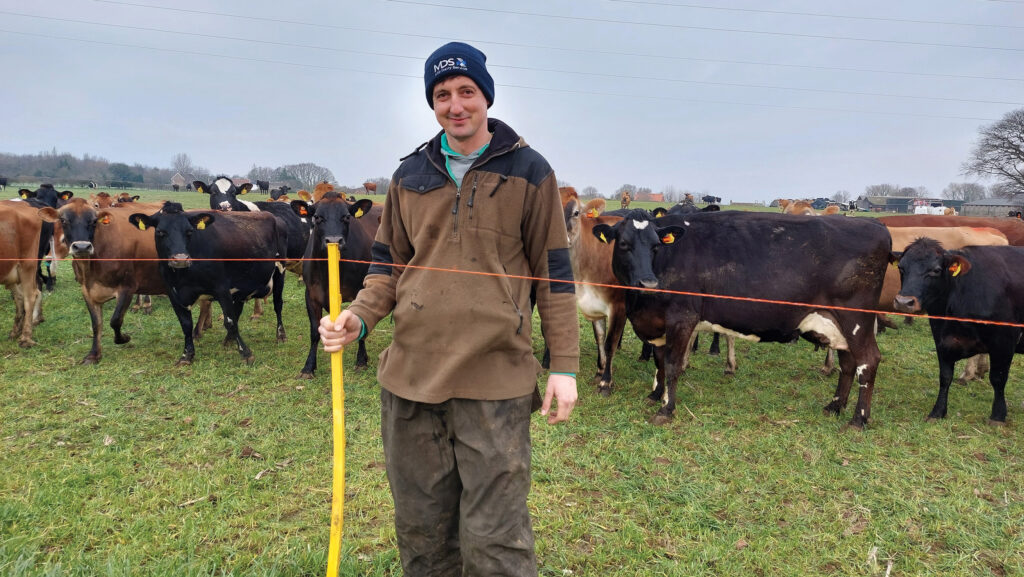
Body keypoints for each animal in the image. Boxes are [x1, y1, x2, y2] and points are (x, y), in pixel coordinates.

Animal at [130, 202, 288, 364]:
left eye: (189, 231)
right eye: (160, 232)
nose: (180, 259)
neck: (183, 277)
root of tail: (272, 216)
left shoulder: (221, 288)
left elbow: (230, 321)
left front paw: (245, 353)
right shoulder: (173, 292)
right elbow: (185, 324)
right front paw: (186, 355)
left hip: (280, 271)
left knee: (278, 304)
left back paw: (280, 335)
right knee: (239, 308)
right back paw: (229, 340)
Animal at [598, 210, 892, 426]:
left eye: (656, 246)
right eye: (623, 244)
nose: (647, 282)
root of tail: (874, 224)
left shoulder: (682, 318)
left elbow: (672, 365)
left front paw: (666, 410)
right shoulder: (658, 323)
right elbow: (659, 361)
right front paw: (655, 395)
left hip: (856, 319)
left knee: (868, 361)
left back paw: (858, 419)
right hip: (837, 325)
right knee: (848, 363)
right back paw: (834, 405)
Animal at [892, 237, 1024, 424]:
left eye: (936, 270)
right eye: (901, 267)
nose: (904, 302)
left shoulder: (1005, 340)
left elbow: (998, 378)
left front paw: (998, 416)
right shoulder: (942, 339)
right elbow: (945, 377)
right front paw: (937, 412)